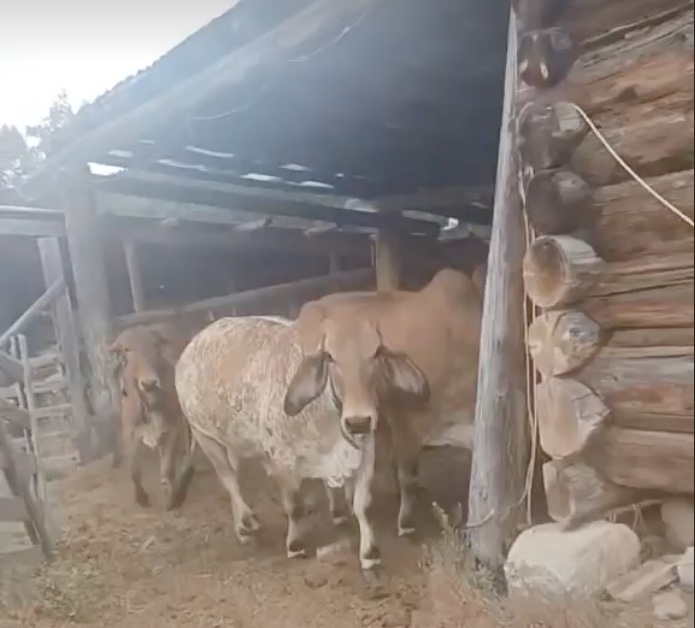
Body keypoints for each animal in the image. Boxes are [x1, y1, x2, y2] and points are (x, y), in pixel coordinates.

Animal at [109, 323, 196, 510]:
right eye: (127, 349)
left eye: (155, 346)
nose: (149, 383)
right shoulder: (130, 432)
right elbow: (134, 469)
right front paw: (141, 497)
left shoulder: (171, 428)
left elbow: (168, 468)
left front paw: (171, 498)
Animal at [174, 315, 378, 574]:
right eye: (330, 357)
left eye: (376, 353)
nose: (358, 422)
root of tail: (195, 340)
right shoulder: (282, 460)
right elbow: (295, 506)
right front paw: (296, 545)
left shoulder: (367, 451)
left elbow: (363, 504)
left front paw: (369, 553)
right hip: (205, 436)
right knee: (229, 481)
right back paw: (247, 523)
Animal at [285, 268, 483, 539]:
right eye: (331, 358)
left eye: (377, 353)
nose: (358, 420)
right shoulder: (407, 425)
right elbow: (407, 476)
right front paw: (406, 522)